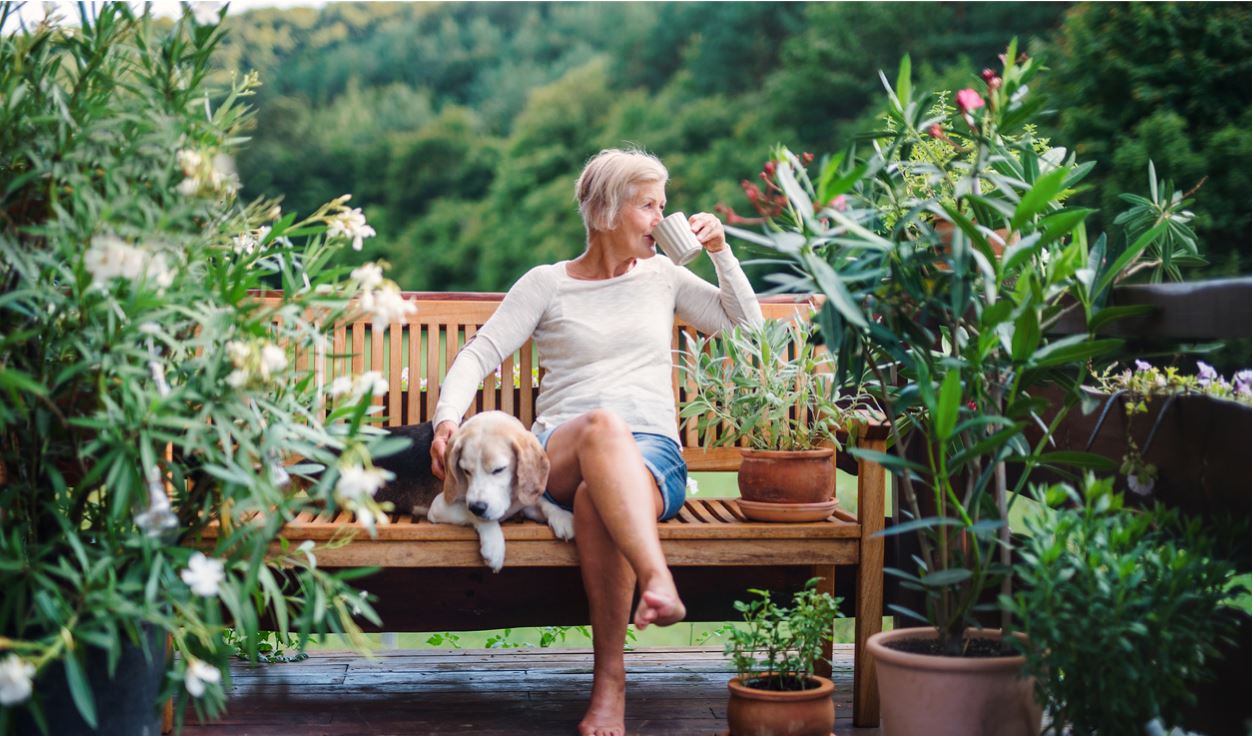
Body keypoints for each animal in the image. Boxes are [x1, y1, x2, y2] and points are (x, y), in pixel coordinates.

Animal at [370, 410, 575, 573]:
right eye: (466, 471)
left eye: (499, 470)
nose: (478, 506)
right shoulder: (439, 506)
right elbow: (474, 515)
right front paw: (494, 545)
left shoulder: (520, 502)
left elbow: (542, 502)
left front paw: (562, 517)